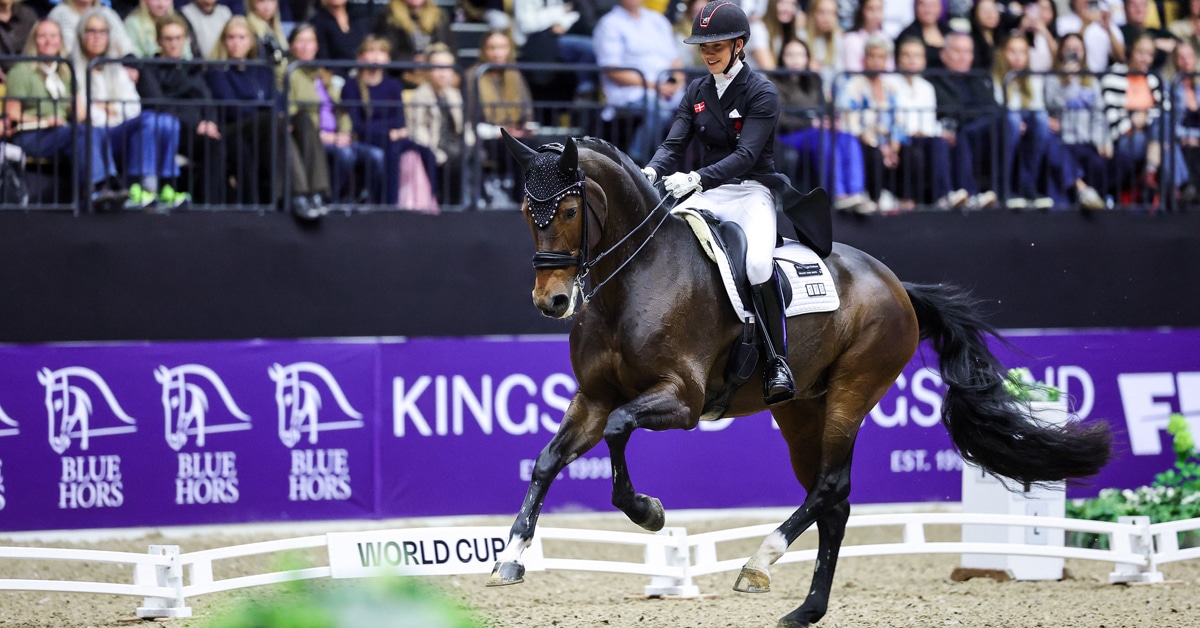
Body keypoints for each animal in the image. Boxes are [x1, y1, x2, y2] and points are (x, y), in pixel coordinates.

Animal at [488, 131, 1112, 627]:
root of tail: (896, 284)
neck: (635, 279)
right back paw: (806, 608)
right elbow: (547, 460)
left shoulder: (681, 400)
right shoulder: (593, 397)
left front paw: (649, 512)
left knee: (831, 487)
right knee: (832, 500)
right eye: (524, 210)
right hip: (798, 410)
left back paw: (757, 563)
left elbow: (619, 431)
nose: (553, 302)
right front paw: (511, 557)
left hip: (851, 393)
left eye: (570, 210)